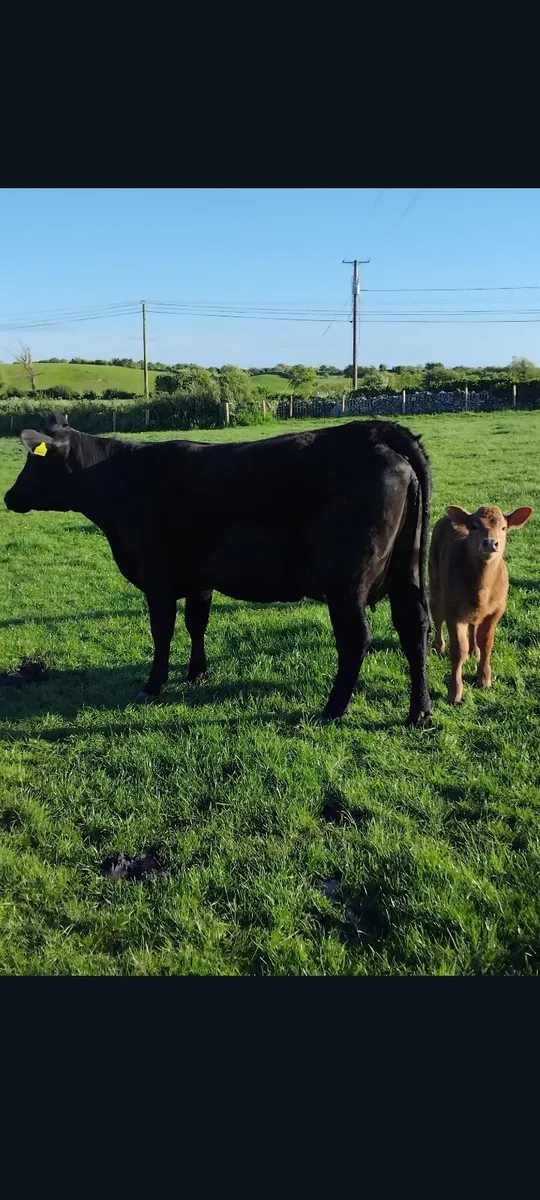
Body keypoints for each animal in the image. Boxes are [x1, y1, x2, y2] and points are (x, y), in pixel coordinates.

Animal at [4, 414, 433, 725]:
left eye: (33, 462)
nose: (9, 497)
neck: (120, 481)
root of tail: (374, 430)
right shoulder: (200, 580)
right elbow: (197, 623)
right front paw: (197, 673)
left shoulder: (158, 580)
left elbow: (162, 633)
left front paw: (153, 685)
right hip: (407, 571)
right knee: (415, 628)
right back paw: (420, 712)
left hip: (346, 583)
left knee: (356, 638)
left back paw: (333, 709)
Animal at [428, 503, 533, 704]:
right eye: (474, 527)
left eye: (503, 528)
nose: (491, 543)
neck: (482, 589)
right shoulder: (454, 611)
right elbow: (458, 651)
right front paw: (455, 692)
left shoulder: (496, 611)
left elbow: (486, 642)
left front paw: (484, 679)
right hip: (435, 584)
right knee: (437, 617)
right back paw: (439, 647)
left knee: (474, 626)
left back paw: (473, 650)